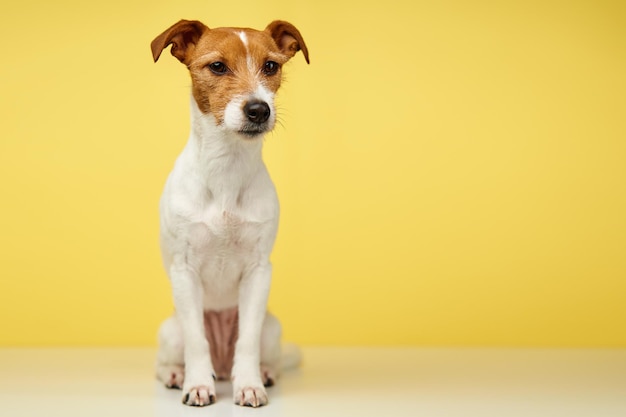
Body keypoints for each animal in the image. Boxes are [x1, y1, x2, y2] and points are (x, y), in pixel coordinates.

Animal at [150, 19, 308, 406]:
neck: (227, 169)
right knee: (169, 359)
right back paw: (178, 374)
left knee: (260, 352)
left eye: (271, 66)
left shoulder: (258, 272)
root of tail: (221, 367)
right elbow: (196, 342)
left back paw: (263, 373)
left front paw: (249, 385)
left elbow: (247, 342)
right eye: (218, 66)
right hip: (170, 331)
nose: (258, 109)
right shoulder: (185, 272)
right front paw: (197, 385)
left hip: (272, 328)